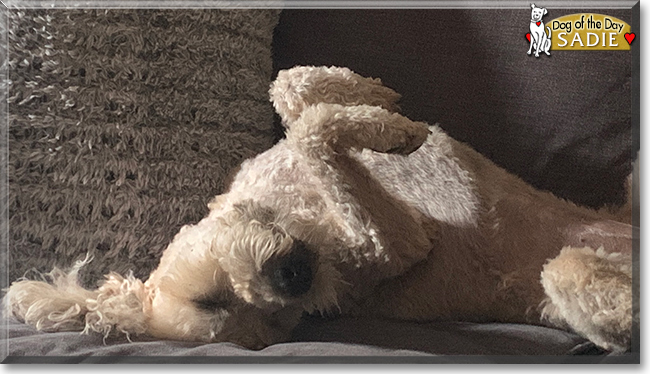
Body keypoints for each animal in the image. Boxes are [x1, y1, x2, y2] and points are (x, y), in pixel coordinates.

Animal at [3, 65, 632, 352]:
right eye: (275, 326)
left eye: (211, 297)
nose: (292, 281)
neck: (300, 209)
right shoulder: (397, 242)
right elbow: (314, 129)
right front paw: (392, 129)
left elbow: (292, 93)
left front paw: (377, 101)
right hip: (565, 275)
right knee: (583, 285)